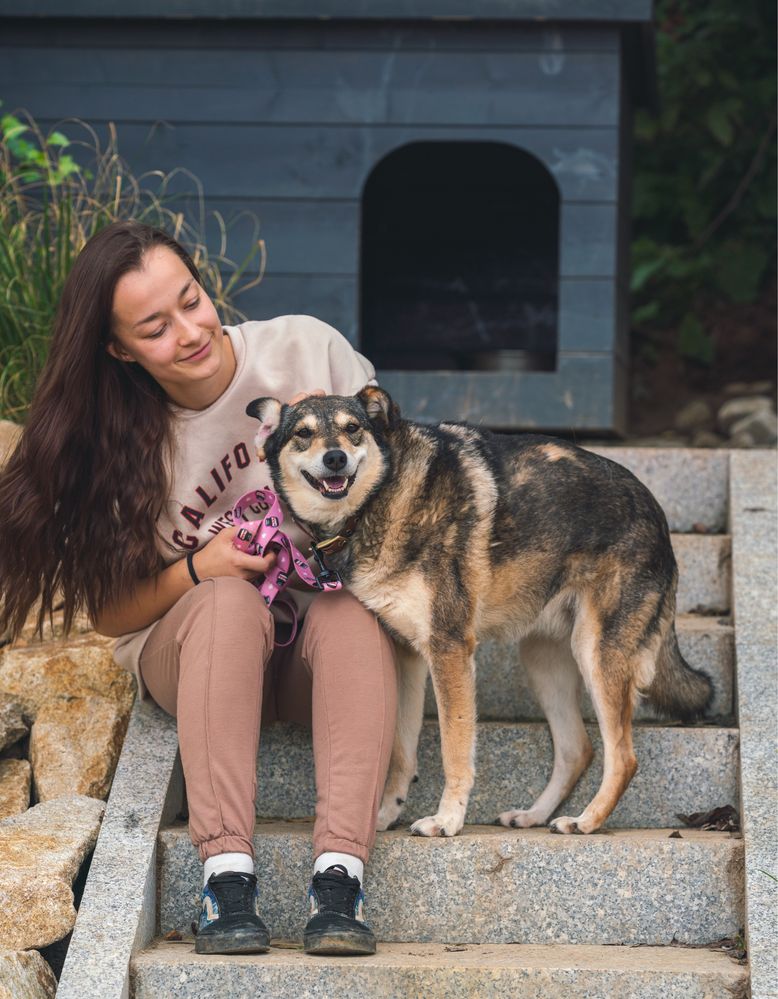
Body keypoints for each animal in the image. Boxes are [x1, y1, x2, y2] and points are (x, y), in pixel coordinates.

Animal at [246, 386, 712, 840]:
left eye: (352, 429)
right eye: (303, 433)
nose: (335, 458)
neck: (383, 496)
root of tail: (655, 510)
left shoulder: (449, 649)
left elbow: (454, 749)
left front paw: (447, 820)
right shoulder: (409, 656)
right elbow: (401, 750)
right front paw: (386, 815)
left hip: (595, 653)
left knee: (624, 757)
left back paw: (587, 821)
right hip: (544, 662)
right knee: (578, 749)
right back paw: (534, 815)